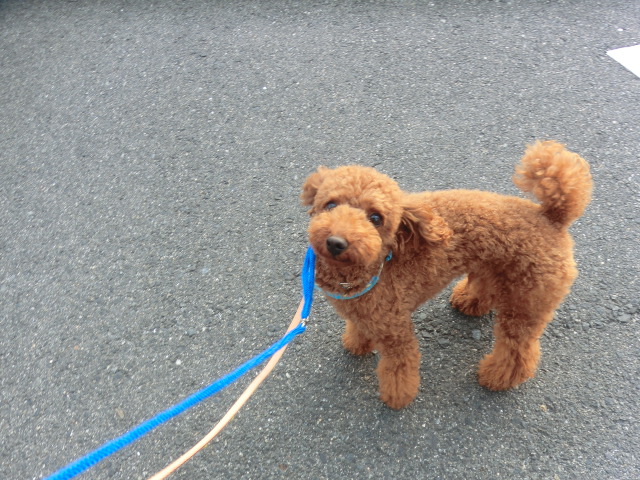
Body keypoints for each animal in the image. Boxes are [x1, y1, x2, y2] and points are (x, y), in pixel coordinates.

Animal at [301, 141, 592, 409]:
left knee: (518, 350)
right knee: (486, 288)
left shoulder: (396, 330)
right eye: (330, 205)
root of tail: (551, 217)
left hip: (526, 302)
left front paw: (397, 397)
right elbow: (359, 328)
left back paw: (497, 377)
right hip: (492, 266)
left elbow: (399, 367)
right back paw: (469, 302)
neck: (372, 268)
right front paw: (357, 343)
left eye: (375, 218)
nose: (336, 242)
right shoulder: (363, 312)